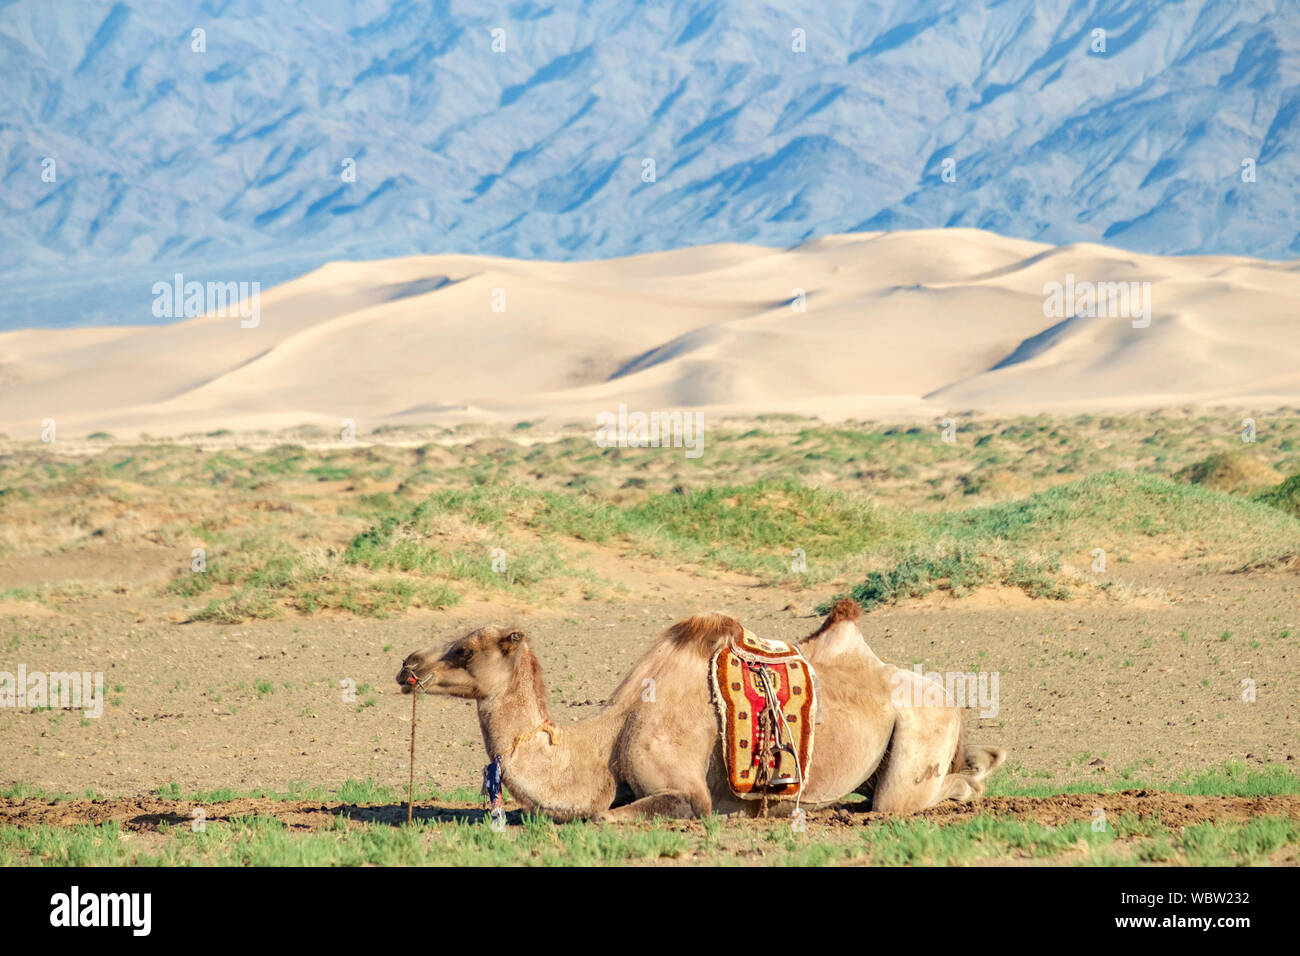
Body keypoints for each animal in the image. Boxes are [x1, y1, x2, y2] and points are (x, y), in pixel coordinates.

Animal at [395, 600, 1003, 816]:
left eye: (464, 649)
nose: (408, 665)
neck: (605, 740)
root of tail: (951, 698)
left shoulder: (685, 788)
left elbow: (606, 816)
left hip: (921, 728)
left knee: (905, 799)